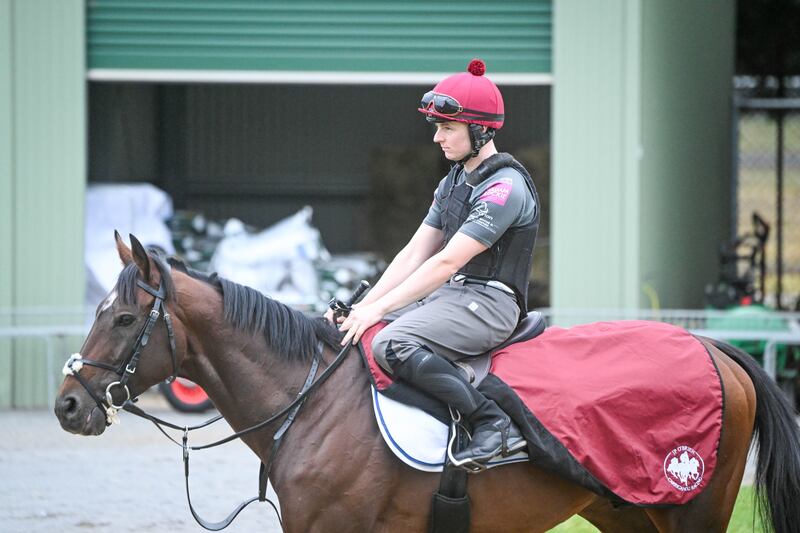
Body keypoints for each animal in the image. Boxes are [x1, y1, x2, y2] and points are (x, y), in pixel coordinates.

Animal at [54, 234, 800, 532]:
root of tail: (714, 347)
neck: (310, 400)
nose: (67, 404)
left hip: (692, 510)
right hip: (625, 512)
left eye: (124, 317)